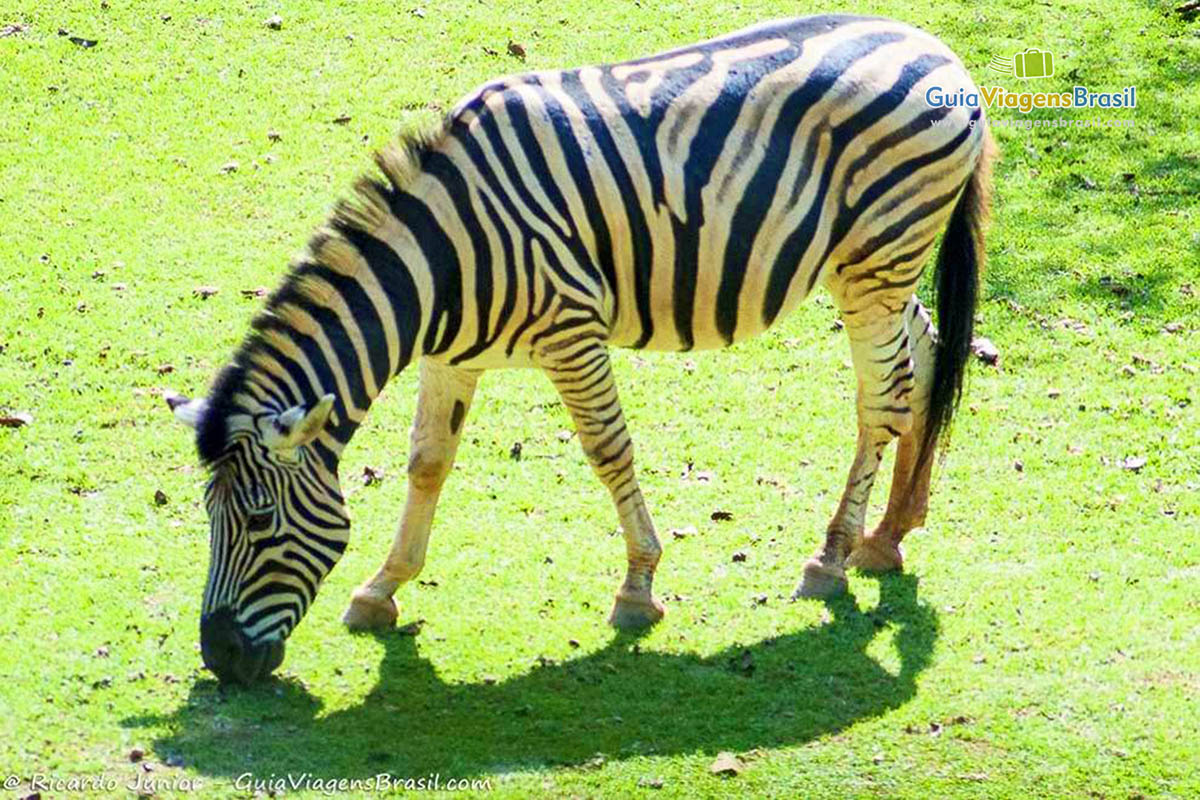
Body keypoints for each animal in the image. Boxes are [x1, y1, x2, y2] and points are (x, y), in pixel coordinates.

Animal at [169, 12, 993, 686]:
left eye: (259, 524)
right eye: (209, 518)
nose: (220, 659)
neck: (439, 264)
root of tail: (941, 51)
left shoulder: (573, 332)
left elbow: (608, 452)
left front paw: (638, 588)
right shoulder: (451, 357)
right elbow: (428, 462)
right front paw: (382, 588)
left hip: (874, 260)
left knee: (880, 404)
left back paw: (832, 556)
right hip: (877, 268)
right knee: (923, 358)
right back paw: (890, 534)